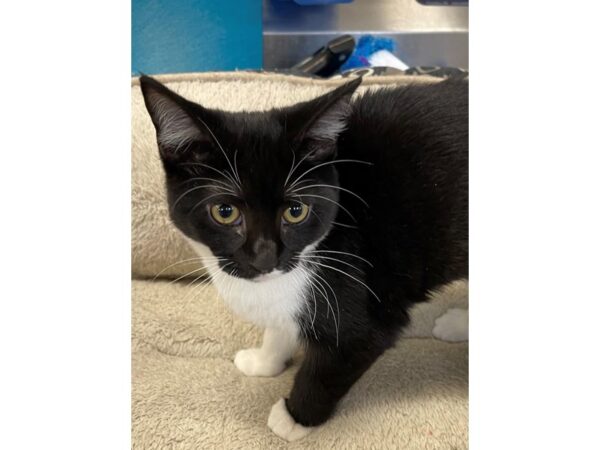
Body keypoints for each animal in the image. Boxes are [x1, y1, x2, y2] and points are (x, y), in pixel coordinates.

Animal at [139, 75, 468, 442]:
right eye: (225, 212)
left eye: (296, 211)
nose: (265, 257)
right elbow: (281, 325)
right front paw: (265, 360)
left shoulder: (361, 305)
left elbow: (331, 364)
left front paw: (294, 417)